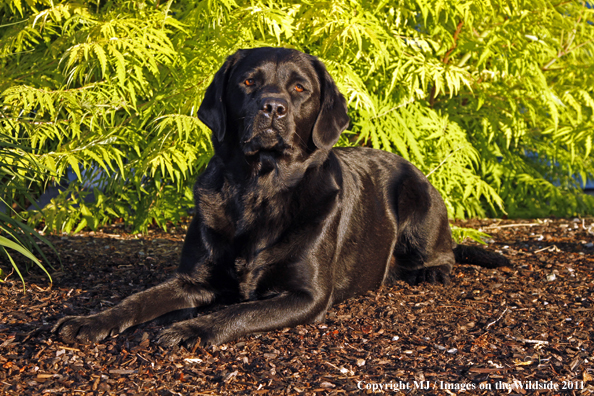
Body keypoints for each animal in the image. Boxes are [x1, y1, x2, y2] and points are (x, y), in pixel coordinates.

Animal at [54, 47, 508, 346]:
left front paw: (188, 329)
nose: (272, 108)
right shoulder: (193, 280)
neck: (260, 189)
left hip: (421, 202)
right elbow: (138, 299)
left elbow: (239, 309)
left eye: (300, 88)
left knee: (444, 253)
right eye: (248, 82)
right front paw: (91, 320)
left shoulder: (306, 296)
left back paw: (431, 271)